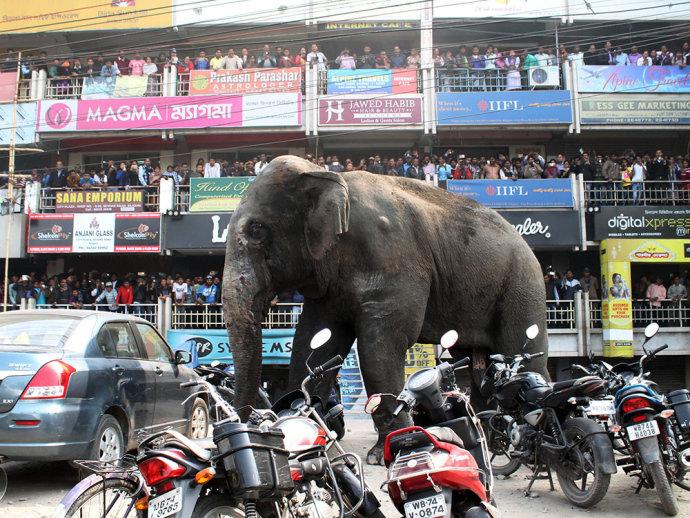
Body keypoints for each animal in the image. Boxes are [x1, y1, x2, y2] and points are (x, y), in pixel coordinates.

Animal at [222, 155, 549, 464]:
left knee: (523, 354)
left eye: (256, 230)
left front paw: (385, 452)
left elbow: (379, 347)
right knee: (479, 368)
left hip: (523, 285)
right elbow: (314, 342)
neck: (328, 175)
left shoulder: (392, 258)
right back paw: (491, 443)